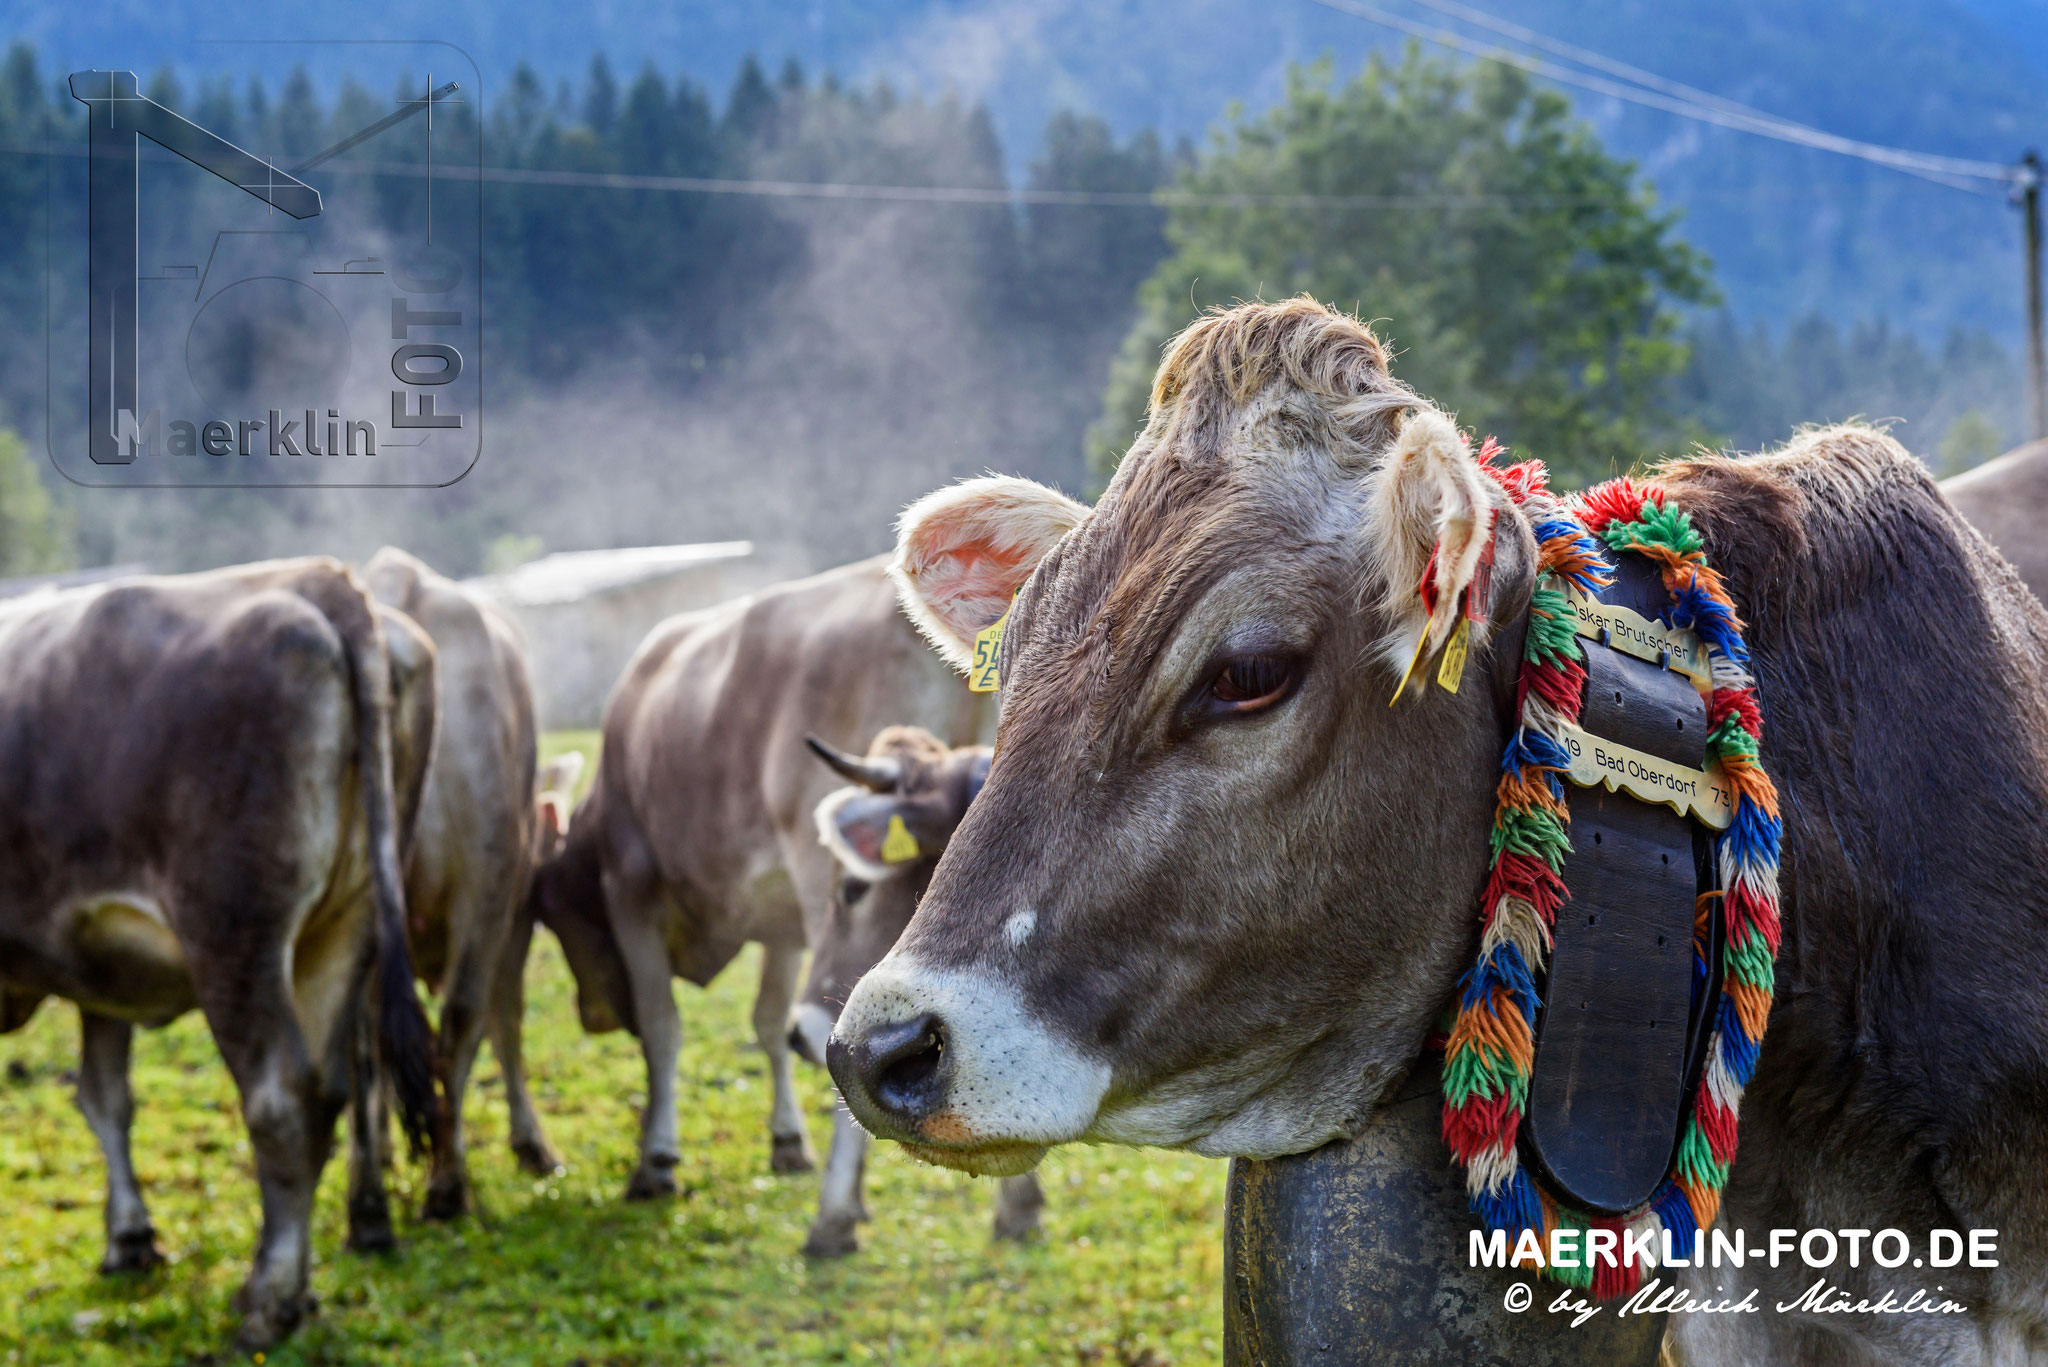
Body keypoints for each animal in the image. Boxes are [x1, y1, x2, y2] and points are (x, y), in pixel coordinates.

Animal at [0, 561, 444, 1352]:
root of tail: (320, 580)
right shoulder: (99, 969)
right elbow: (104, 1097)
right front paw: (129, 1239)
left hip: (236, 935)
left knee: (279, 1097)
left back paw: (270, 1298)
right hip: (348, 923)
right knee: (335, 1084)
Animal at [350, 545, 577, 1237]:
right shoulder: (513, 916)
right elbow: (505, 1023)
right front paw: (531, 1143)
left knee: (358, 1043)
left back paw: (367, 1204)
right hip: (487, 889)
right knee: (460, 1021)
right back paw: (447, 1184)